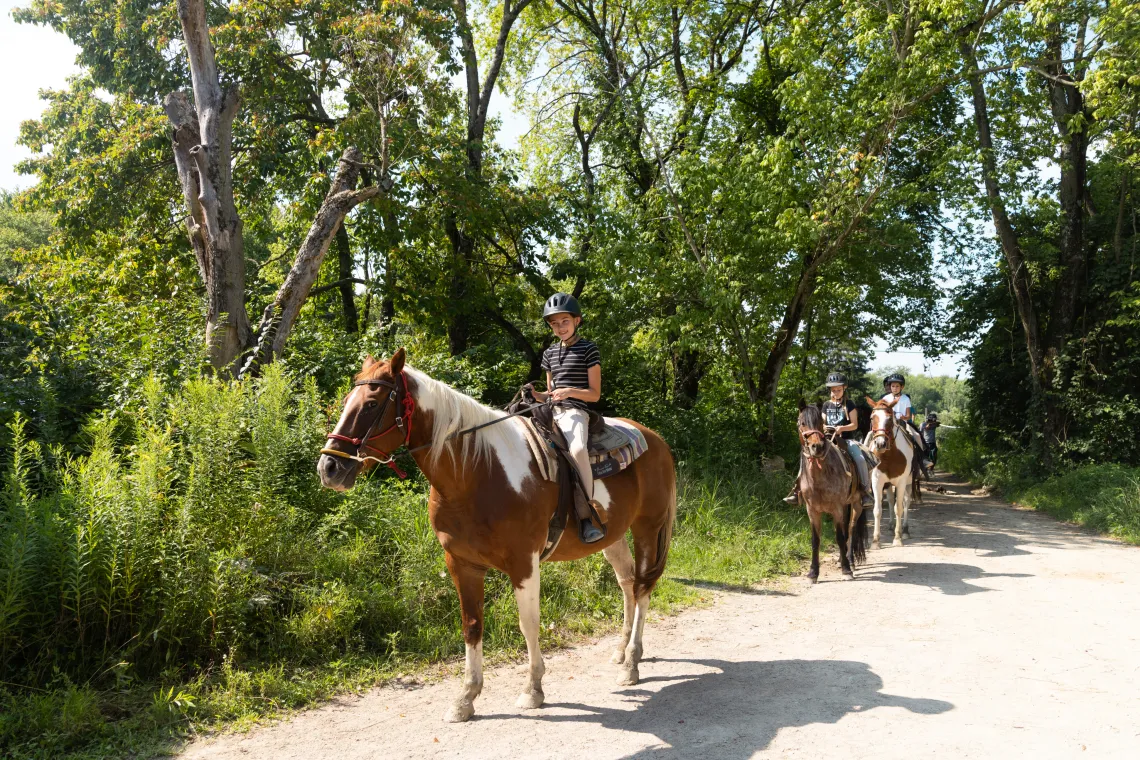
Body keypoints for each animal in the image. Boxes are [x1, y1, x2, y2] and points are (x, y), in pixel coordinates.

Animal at [317, 349, 676, 723]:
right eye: (347, 402)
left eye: (372, 404)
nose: (329, 468)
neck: (476, 472)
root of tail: (655, 439)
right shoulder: (462, 564)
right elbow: (472, 626)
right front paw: (465, 698)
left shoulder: (524, 563)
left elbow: (528, 623)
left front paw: (532, 690)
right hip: (613, 537)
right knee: (627, 583)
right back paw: (621, 652)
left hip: (648, 528)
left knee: (642, 587)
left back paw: (631, 663)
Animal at [795, 401, 868, 582]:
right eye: (802, 423)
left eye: (820, 423)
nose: (817, 447)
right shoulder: (812, 510)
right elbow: (815, 540)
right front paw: (813, 572)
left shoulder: (836, 508)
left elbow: (840, 537)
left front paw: (847, 570)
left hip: (856, 504)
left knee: (851, 529)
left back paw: (849, 560)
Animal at [864, 396, 921, 549]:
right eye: (872, 417)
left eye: (889, 419)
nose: (880, 444)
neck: (889, 455)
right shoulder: (877, 481)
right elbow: (877, 510)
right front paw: (875, 541)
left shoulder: (901, 482)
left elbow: (899, 508)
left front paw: (897, 538)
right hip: (888, 484)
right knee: (890, 500)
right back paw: (890, 526)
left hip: (908, 483)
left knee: (906, 502)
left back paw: (904, 530)